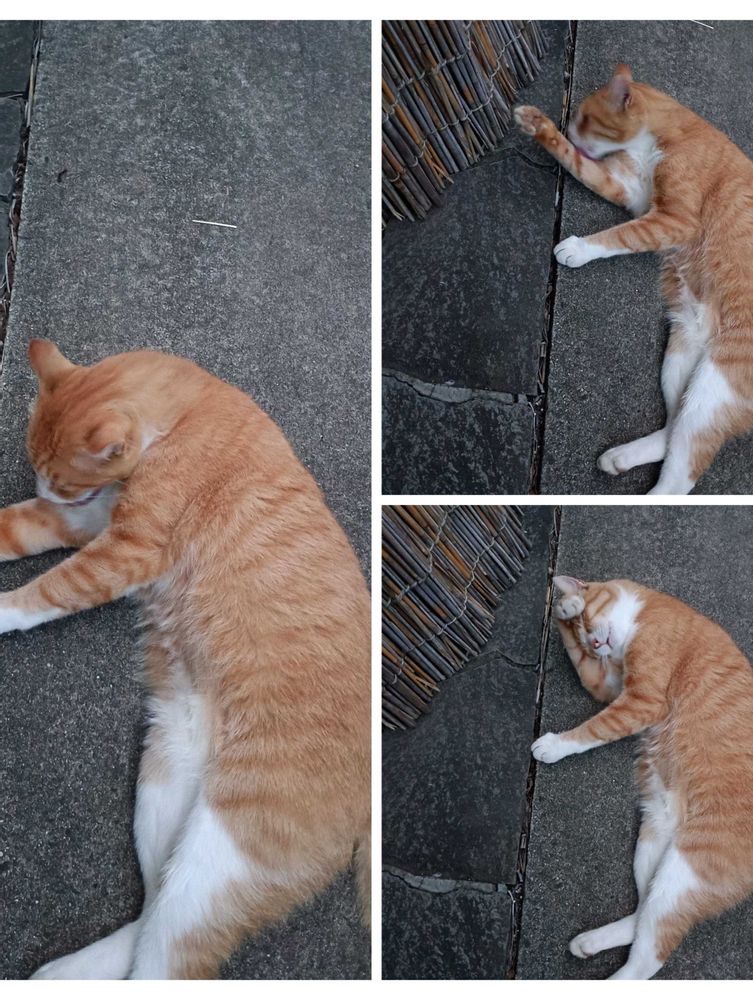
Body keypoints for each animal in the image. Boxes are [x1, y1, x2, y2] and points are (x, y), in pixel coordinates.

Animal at [1, 340, 370, 979]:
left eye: (63, 481)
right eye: (44, 481)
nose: (47, 493)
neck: (189, 411)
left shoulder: (123, 550)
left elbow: (46, 592)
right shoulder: (86, 522)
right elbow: (10, 528)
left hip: (224, 853)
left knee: (169, 952)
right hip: (165, 786)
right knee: (152, 906)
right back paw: (69, 973)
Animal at [515, 64, 753, 494]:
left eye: (585, 118)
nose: (571, 128)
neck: (670, 131)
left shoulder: (672, 220)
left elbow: (619, 237)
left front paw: (577, 249)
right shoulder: (629, 192)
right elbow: (577, 163)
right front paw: (538, 126)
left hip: (717, 385)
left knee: (681, 474)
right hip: (681, 361)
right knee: (674, 429)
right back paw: (620, 457)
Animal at [532, 574, 753, 979]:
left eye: (589, 624)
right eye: (586, 639)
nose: (597, 643)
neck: (642, 610)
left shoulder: (640, 701)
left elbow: (591, 731)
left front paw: (554, 746)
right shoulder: (611, 688)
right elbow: (581, 665)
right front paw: (563, 616)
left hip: (685, 871)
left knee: (648, 957)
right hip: (654, 844)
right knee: (641, 915)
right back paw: (589, 942)